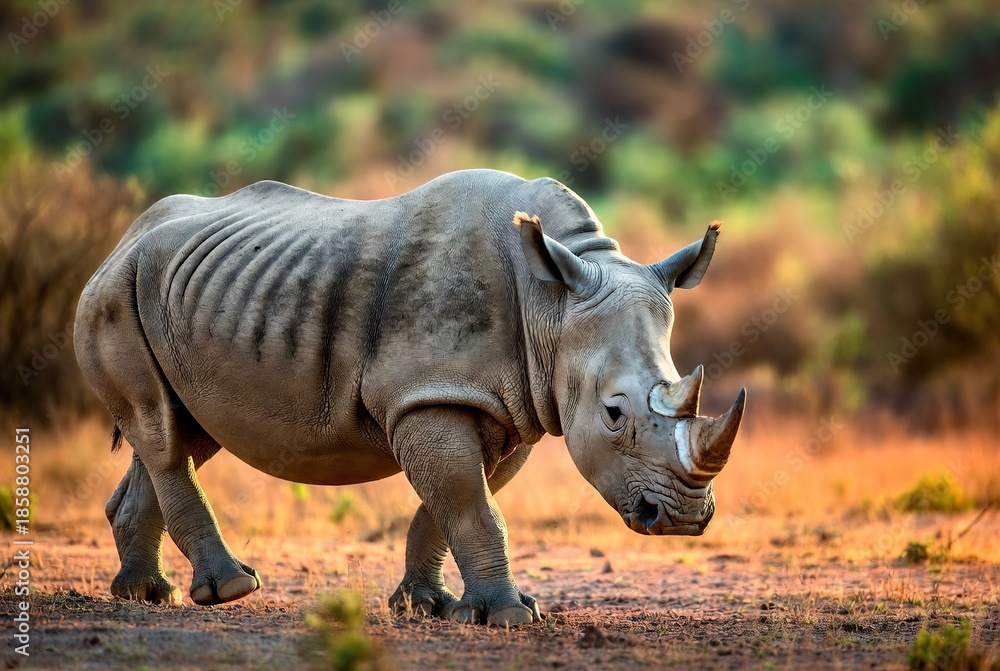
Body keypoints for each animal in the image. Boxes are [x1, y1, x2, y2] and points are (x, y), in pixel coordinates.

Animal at [75, 169, 745, 625]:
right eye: (613, 414)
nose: (684, 519)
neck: (552, 303)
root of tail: (122, 239)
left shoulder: (507, 405)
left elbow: (452, 504)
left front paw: (428, 607)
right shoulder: (430, 394)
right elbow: (470, 505)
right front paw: (508, 616)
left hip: (183, 292)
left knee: (181, 432)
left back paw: (144, 594)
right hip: (112, 293)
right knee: (162, 435)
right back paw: (230, 591)